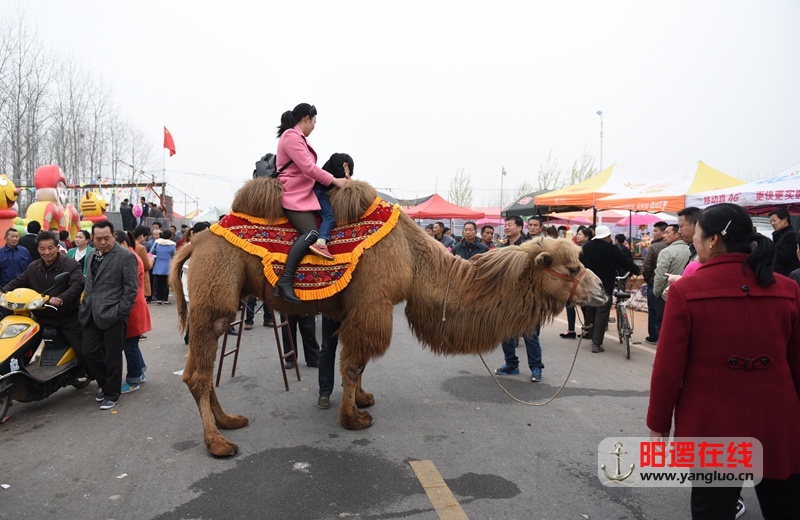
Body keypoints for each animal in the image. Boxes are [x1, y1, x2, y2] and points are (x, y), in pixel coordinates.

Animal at [170, 178, 608, 456]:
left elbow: (357, 363)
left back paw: (229, 421)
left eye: (580, 260)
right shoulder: (374, 303)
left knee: (201, 371)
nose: (603, 290)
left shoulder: (359, 307)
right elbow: (353, 362)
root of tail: (196, 241)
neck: (417, 260)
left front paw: (363, 399)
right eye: (572, 268)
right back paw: (218, 443)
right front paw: (353, 419)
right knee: (197, 374)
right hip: (214, 297)